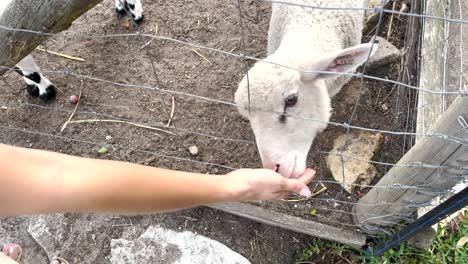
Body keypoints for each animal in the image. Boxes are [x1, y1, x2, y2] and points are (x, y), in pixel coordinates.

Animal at [0, 0, 144, 100]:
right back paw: (121, 7)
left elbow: (28, 70)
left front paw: (47, 92)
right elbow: (15, 64)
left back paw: (136, 14)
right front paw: (33, 88)